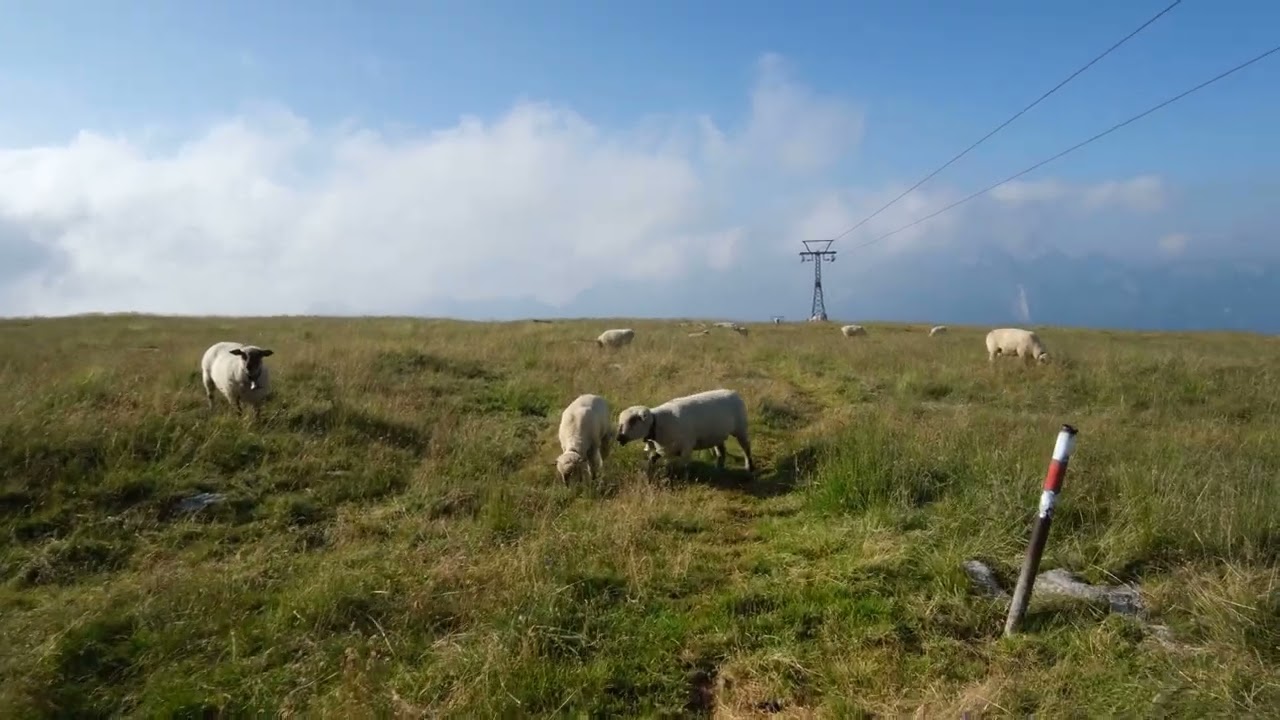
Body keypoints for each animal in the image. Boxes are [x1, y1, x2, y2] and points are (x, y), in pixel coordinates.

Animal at [615, 388, 754, 477]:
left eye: (633, 421)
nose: (619, 437)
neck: (659, 423)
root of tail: (733, 392)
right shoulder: (664, 448)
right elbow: (652, 459)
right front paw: (649, 473)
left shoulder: (686, 447)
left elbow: (684, 466)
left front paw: (685, 479)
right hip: (717, 434)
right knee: (721, 451)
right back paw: (719, 469)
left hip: (741, 428)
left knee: (746, 447)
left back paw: (749, 468)